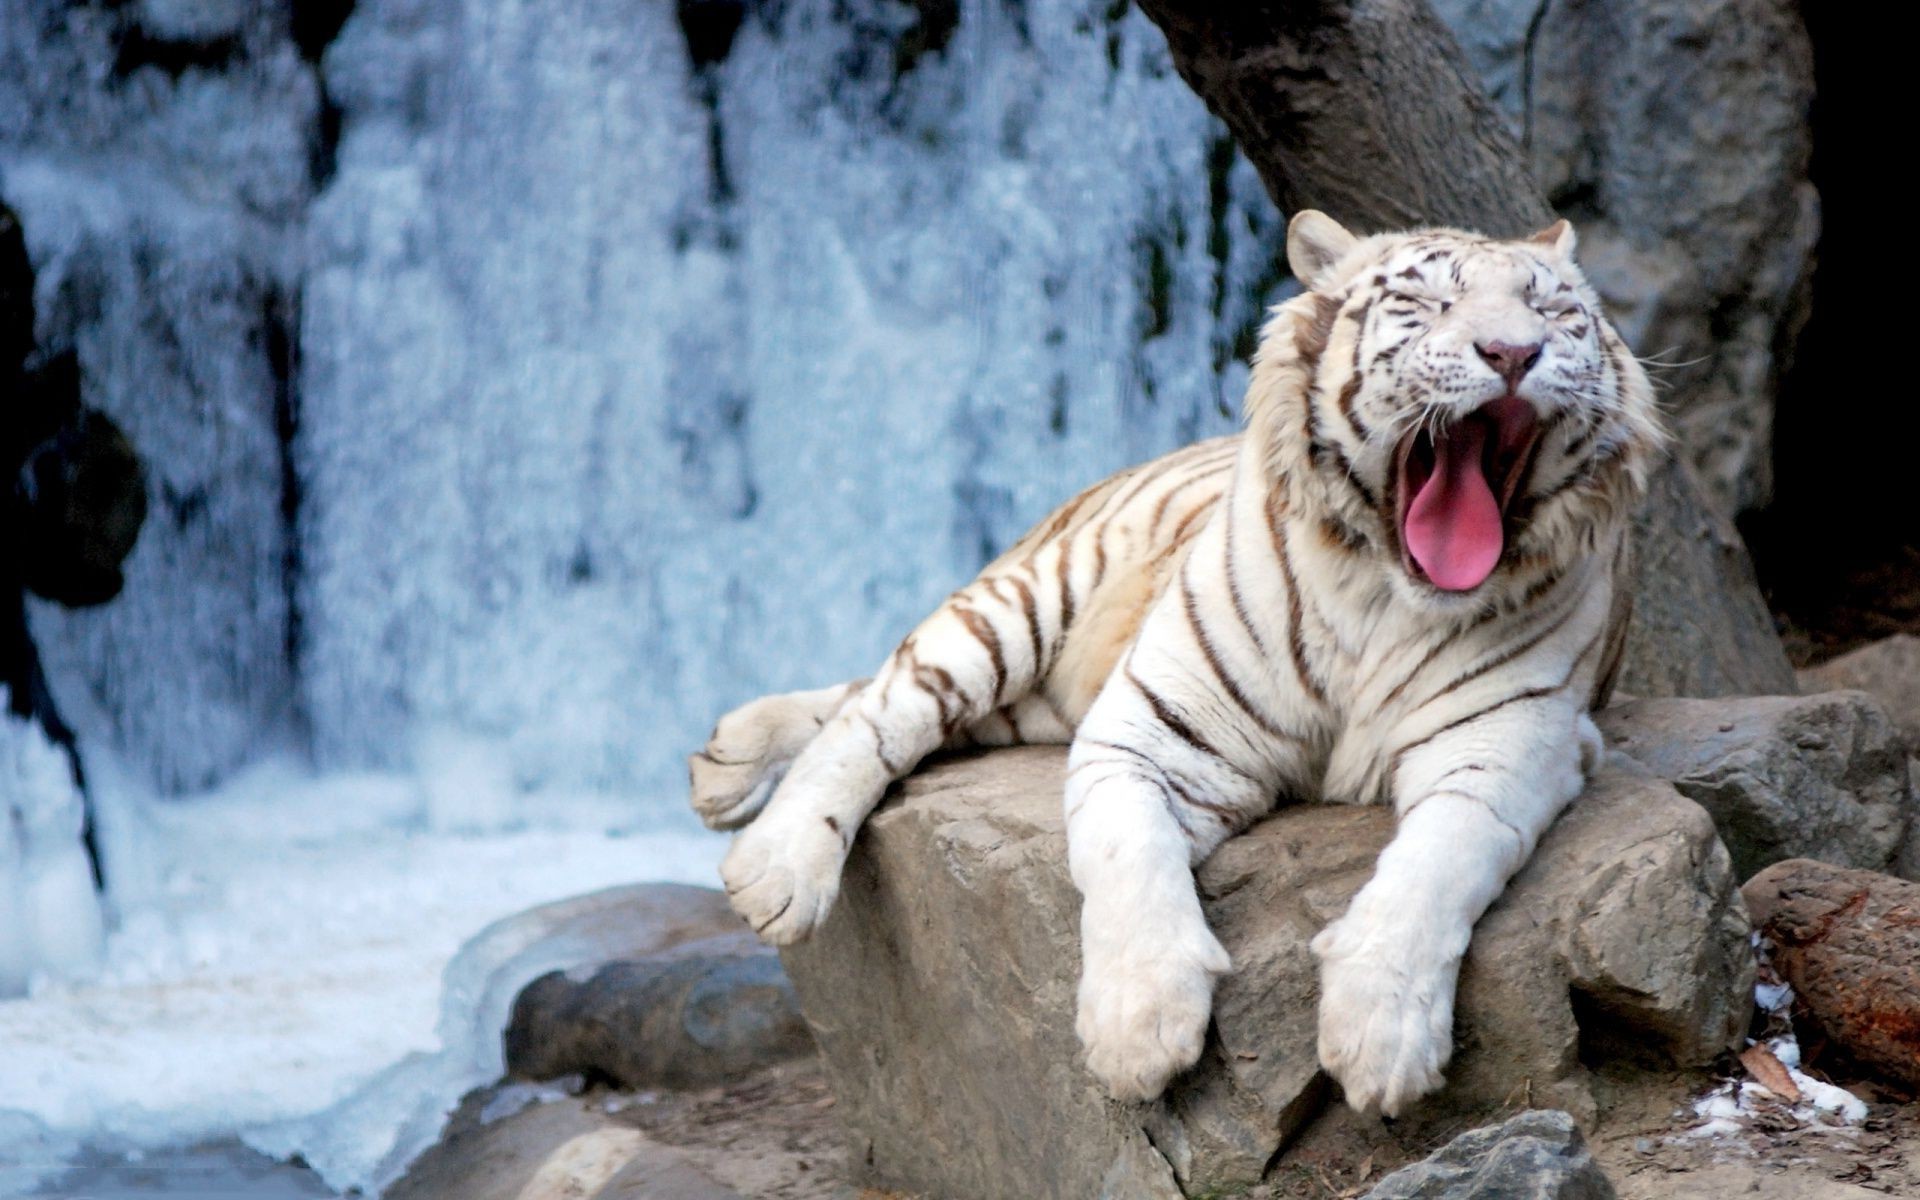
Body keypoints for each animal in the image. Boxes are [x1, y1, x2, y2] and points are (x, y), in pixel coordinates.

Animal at [691, 208, 1666, 1113]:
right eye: (1430, 302)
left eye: (1553, 310)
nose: (1513, 352)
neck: (1387, 595)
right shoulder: (1151, 727)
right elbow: (1127, 856)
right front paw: (1138, 1030)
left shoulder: (1508, 745)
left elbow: (1436, 867)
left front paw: (1381, 1038)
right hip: (1025, 605)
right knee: (883, 704)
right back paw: (771, 859)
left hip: (1035, 701)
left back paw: (724, 757)